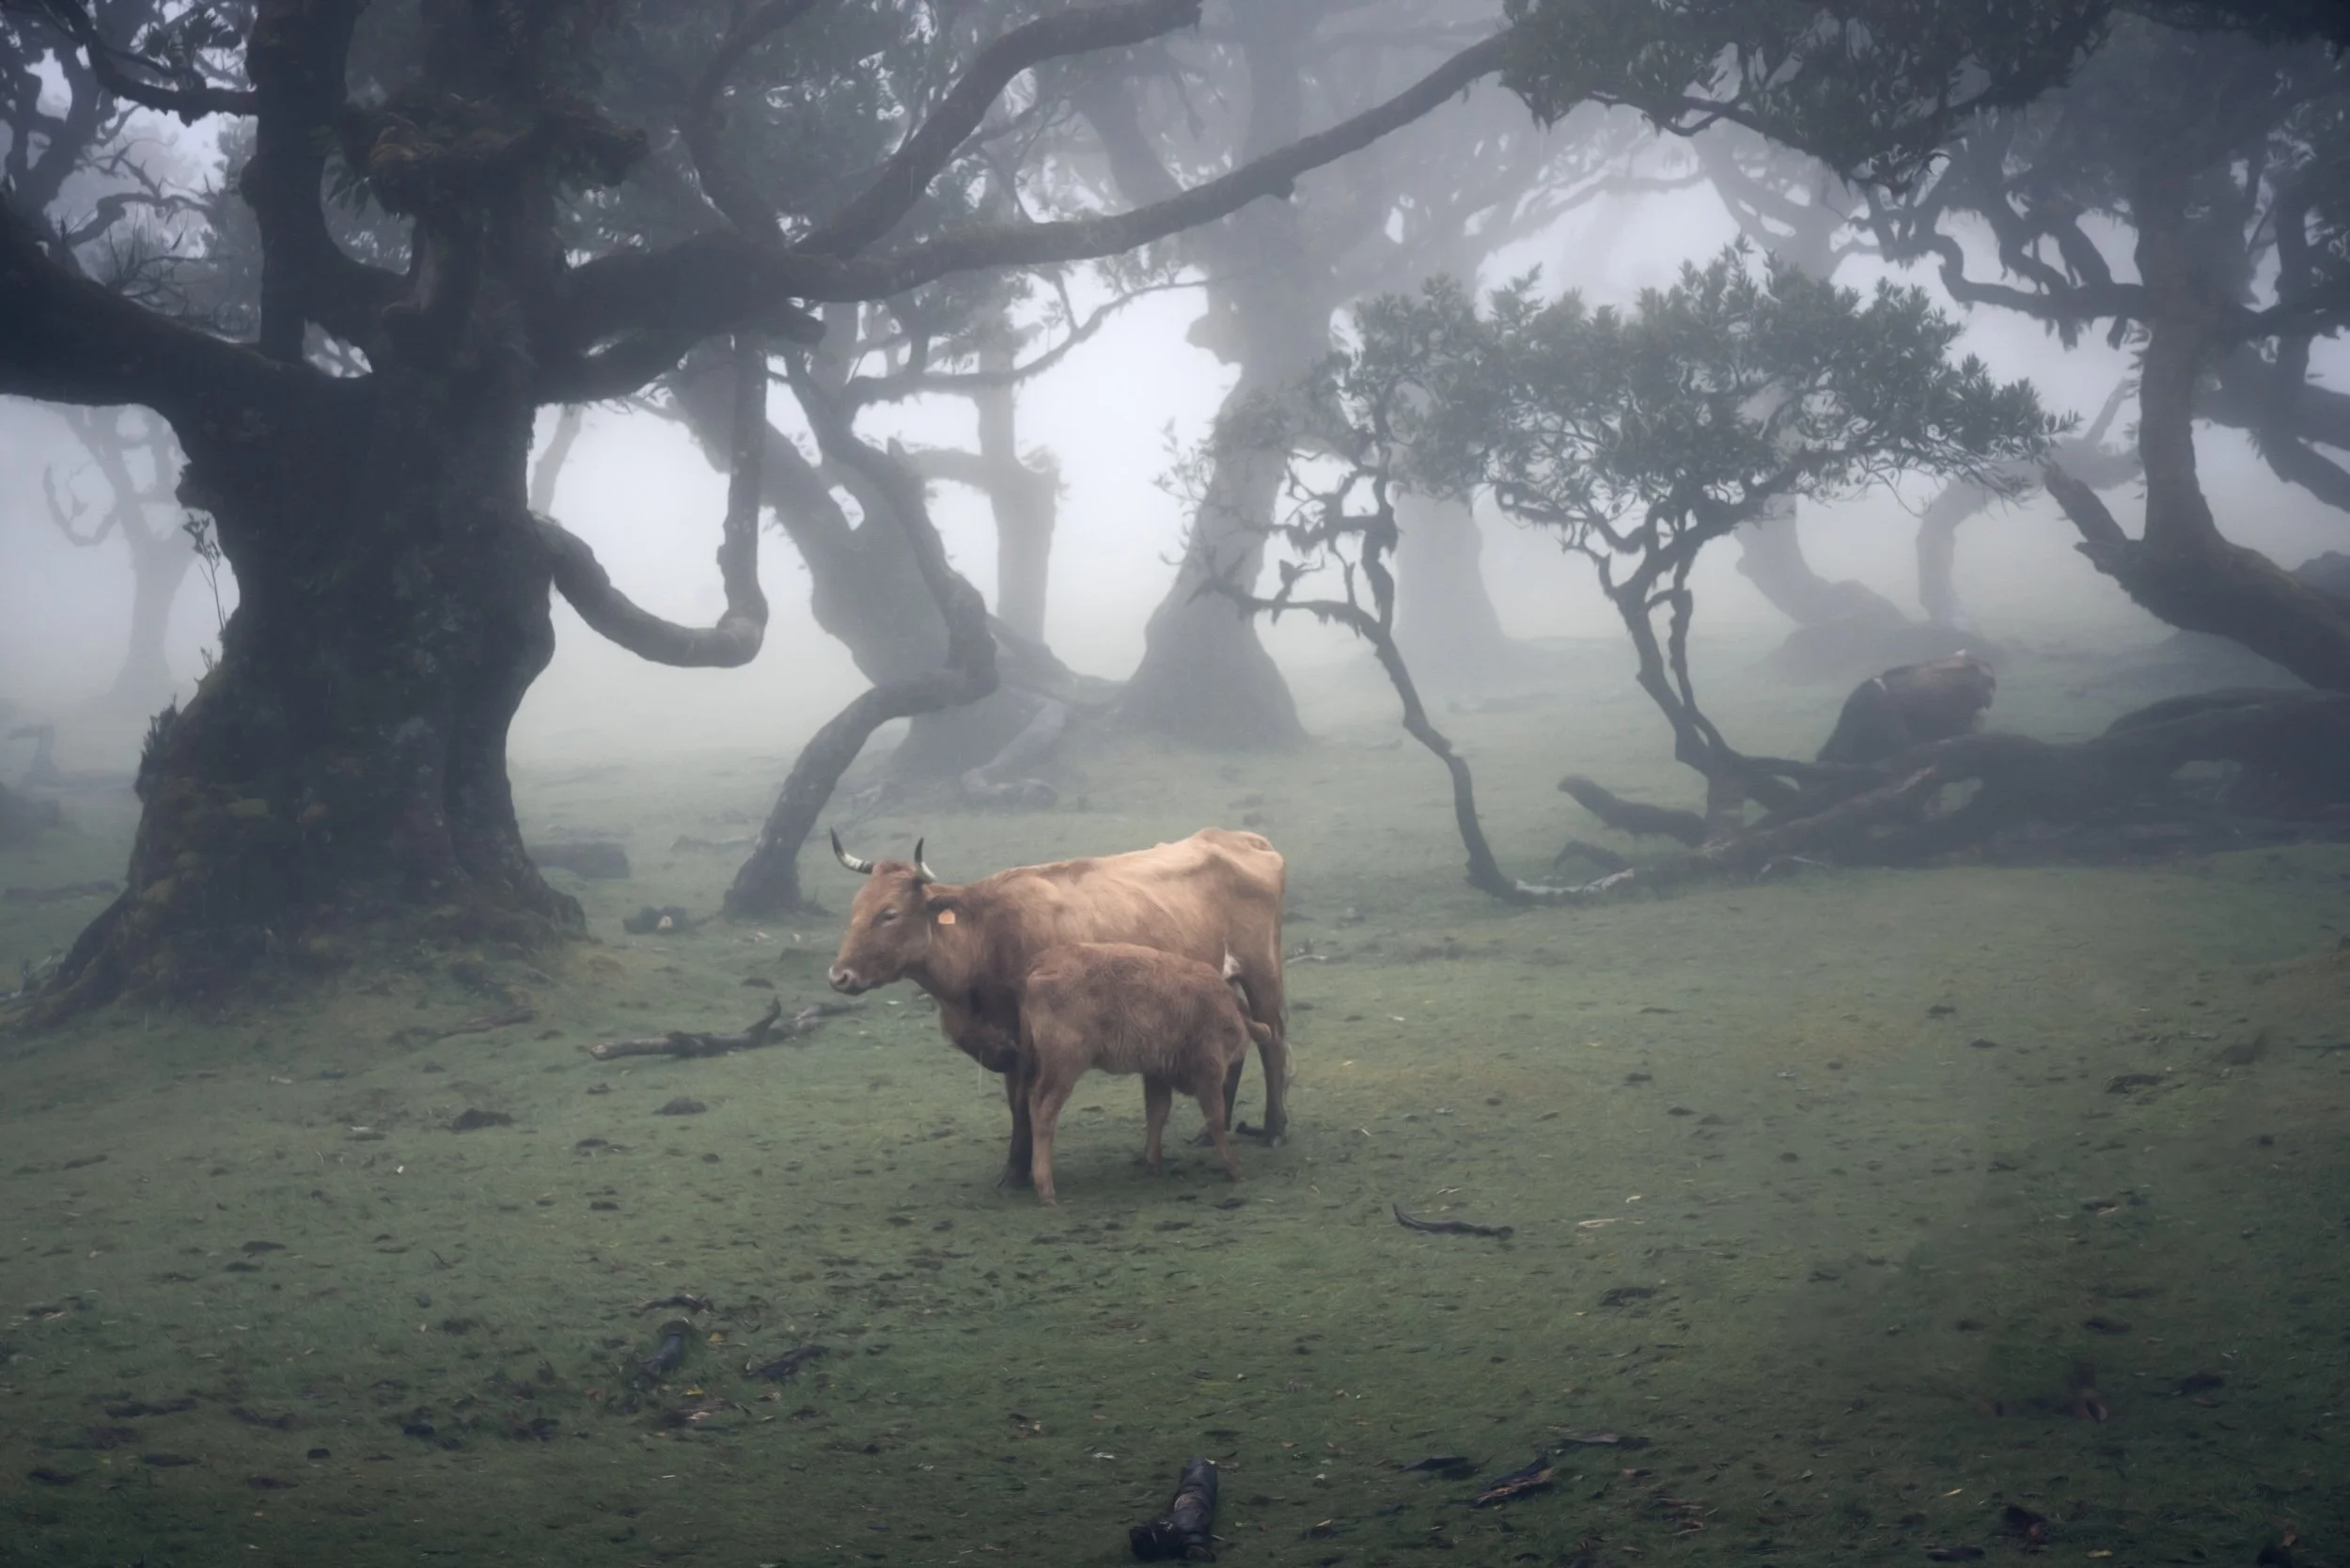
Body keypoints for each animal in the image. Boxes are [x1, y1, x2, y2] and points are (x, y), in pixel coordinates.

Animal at [1017, 943, 1270, 1205]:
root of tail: (1044, 961)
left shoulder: (1157, 1073)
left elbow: (1158, 1112)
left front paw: (1153, 1162)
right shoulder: (1208, 1072)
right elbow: (1216, 1120)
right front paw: (1236, 1169)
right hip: (1064, 1069)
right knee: (1044, 1114)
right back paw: (1046, 1190)